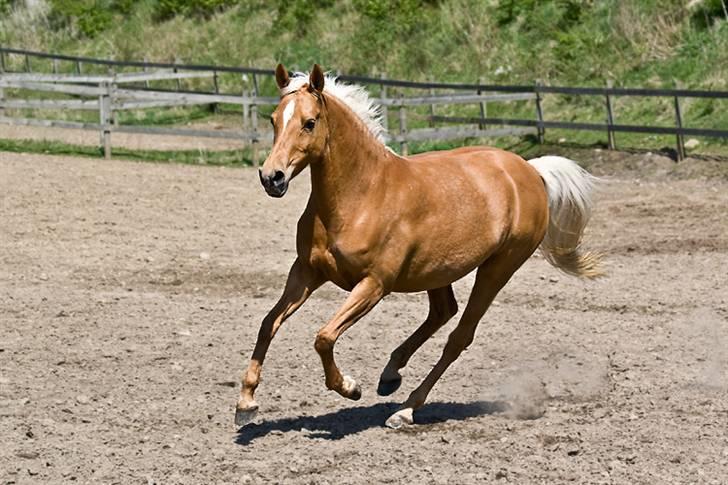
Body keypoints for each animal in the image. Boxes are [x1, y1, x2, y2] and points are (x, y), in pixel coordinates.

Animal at [235, 63, 604, 428]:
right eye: (274, 120)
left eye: (309, 122)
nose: (272, 177)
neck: (361, 196)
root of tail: (530, 170)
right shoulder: (306, 271)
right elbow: (268, 323)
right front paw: (246, 403)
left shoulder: (374, 285)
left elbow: (324, 337)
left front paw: (350, 388)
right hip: (438, 270)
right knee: (443, 312)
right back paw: (390, 375)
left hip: (498, 268)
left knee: (459, 337)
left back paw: (406, 409)